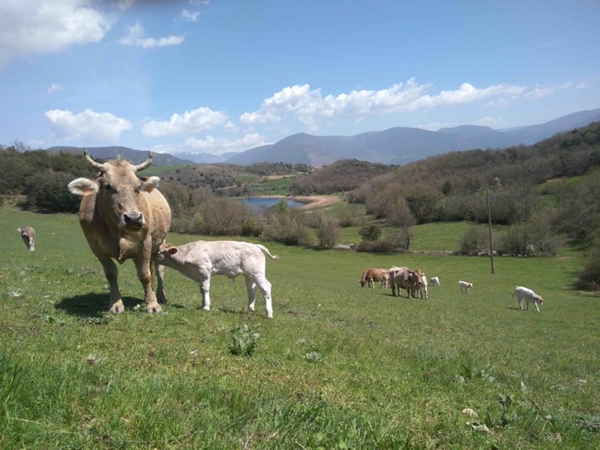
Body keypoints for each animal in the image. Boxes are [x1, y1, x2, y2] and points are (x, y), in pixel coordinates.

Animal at [68, 151, 171, 312]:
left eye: (138, 187)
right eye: (107, 186)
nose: (134, 218)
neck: (116, 231)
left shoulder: (145, 242)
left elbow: (145, 274)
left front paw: (153, 305)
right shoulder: (95, 246)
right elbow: (111, 273)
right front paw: (116, 303)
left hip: (160, 243)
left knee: (159, 269)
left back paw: (160, 296)